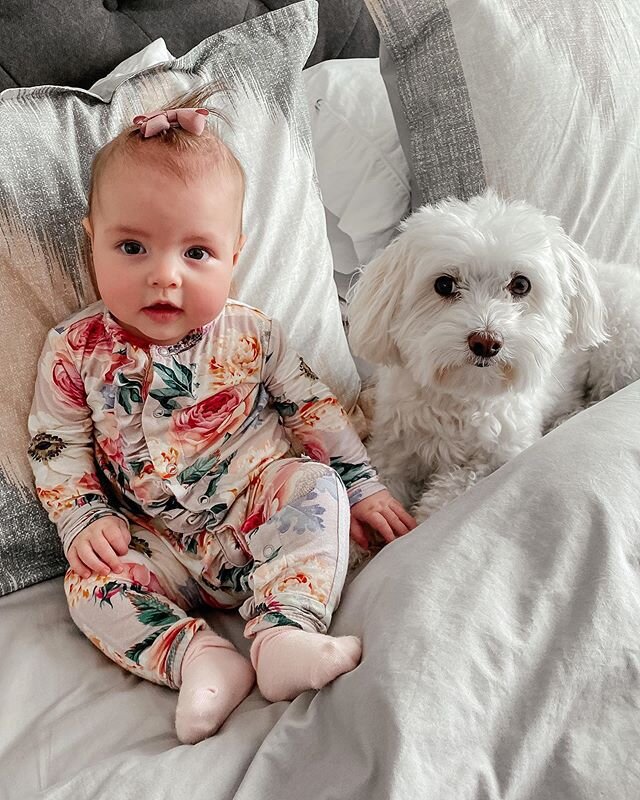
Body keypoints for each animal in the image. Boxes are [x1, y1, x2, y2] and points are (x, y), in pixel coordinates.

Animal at [348, 191, 640, 520]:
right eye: (444, 284)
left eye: (521, 284)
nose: (486, 342)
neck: (463, 395)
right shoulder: (394, 448)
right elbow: (384, 479)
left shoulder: (499, 457)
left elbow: (454, 487)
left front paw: (425, 512)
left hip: (622, 354)